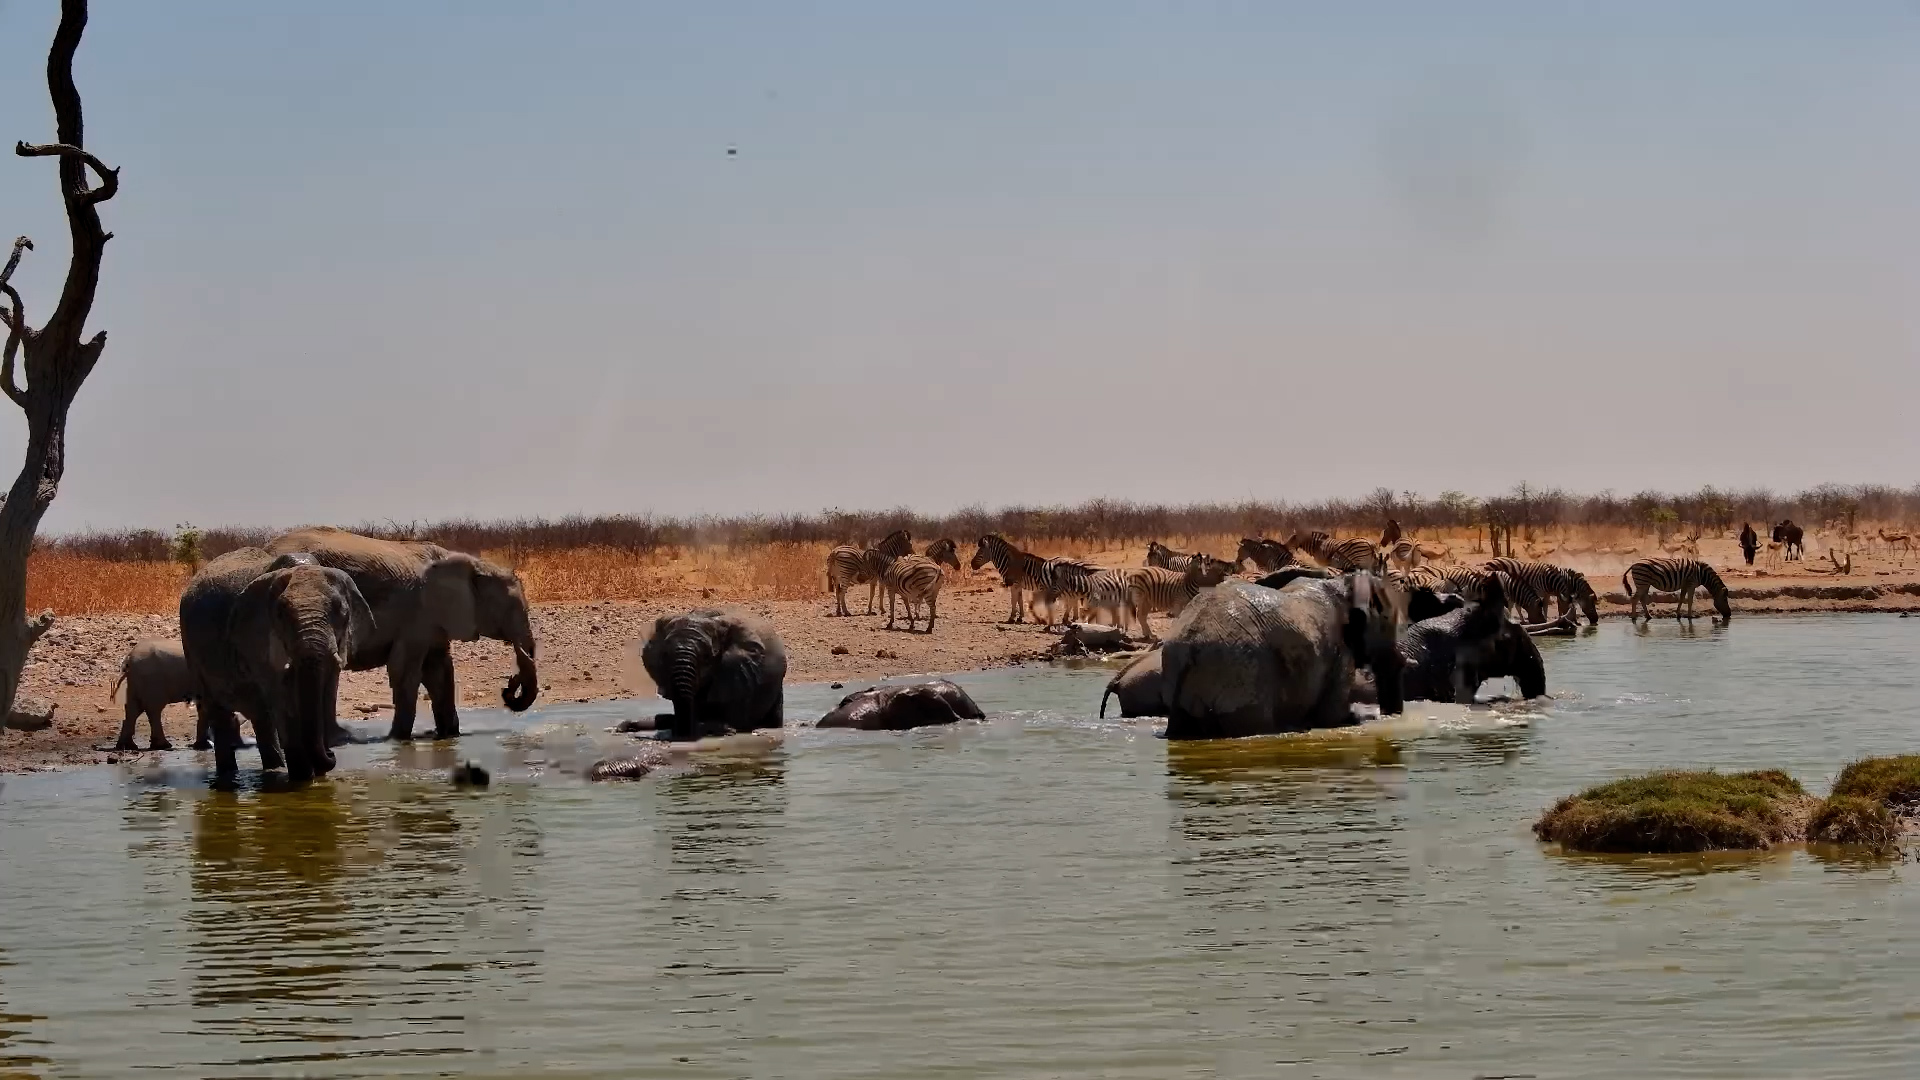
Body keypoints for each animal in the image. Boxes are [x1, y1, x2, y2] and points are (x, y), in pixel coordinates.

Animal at [180, 549, 377, 782]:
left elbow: (325, 692)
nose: (331, 754)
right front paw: (304, 781)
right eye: (281, 613)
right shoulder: (260, 640)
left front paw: (320, 777)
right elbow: (284, 701)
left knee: (261, 715)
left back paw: (273, 769)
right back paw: (228, 778)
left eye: (340, 610)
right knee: (220, 711)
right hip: (192, 650)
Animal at [265, 527, 539, 742]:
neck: (471, 563)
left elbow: (440, 671)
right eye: (513, 609)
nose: (509, 686)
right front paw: (398, 740)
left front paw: (448, 736)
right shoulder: (416, 615)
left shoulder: (434, 621)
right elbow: (405, 671)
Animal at [1160, 574, 1406, 740]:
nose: (1388, 714)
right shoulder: (1339, 652)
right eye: (1387, 623)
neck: (1343, 581)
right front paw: (1357, 718)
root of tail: (1191, 643)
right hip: (1241, 668)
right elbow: (1332, 716)